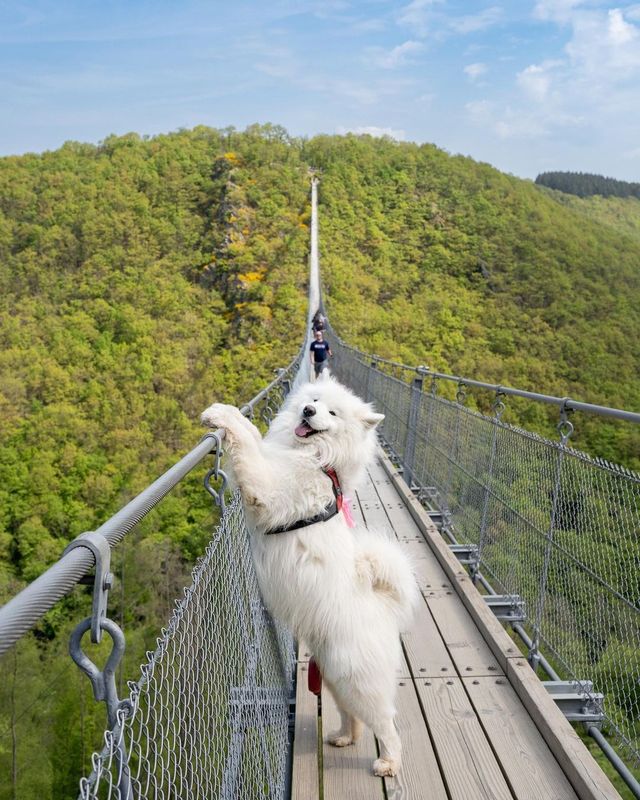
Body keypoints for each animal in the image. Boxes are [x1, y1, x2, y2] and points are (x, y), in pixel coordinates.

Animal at [201, 374, 420, 776]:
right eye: (315, 400)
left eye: (331, 413)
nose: (307, 411)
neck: (317, 459)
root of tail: (383, 604)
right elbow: (254, 437)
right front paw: (229, 413)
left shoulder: (269, 487)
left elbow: (247, 444)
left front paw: (222, 415)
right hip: (334, 679)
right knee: (353, 717)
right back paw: (343, 738)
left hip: (358, 682)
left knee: (386, 725)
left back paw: (387, 763)